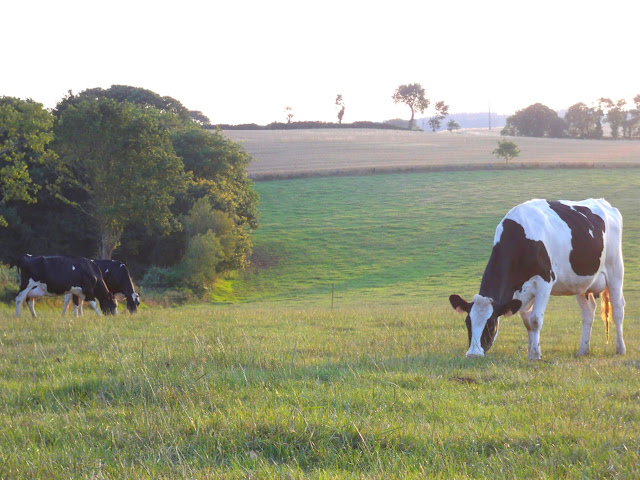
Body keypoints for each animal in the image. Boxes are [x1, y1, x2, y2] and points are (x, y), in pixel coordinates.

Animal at [448, 199, 624, 360]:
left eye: (491, 324)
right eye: (467, 323)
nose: (473, 354)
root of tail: (604, 203)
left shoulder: (544, 282)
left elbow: (535, 320)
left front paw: (534, 354)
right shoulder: (522, 292)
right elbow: (527, 323)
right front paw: (532, 350)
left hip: (615, 270)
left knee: (618, 309)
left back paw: (620, 349)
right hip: (581, 283)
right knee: (588, 313)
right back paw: (583, 350)